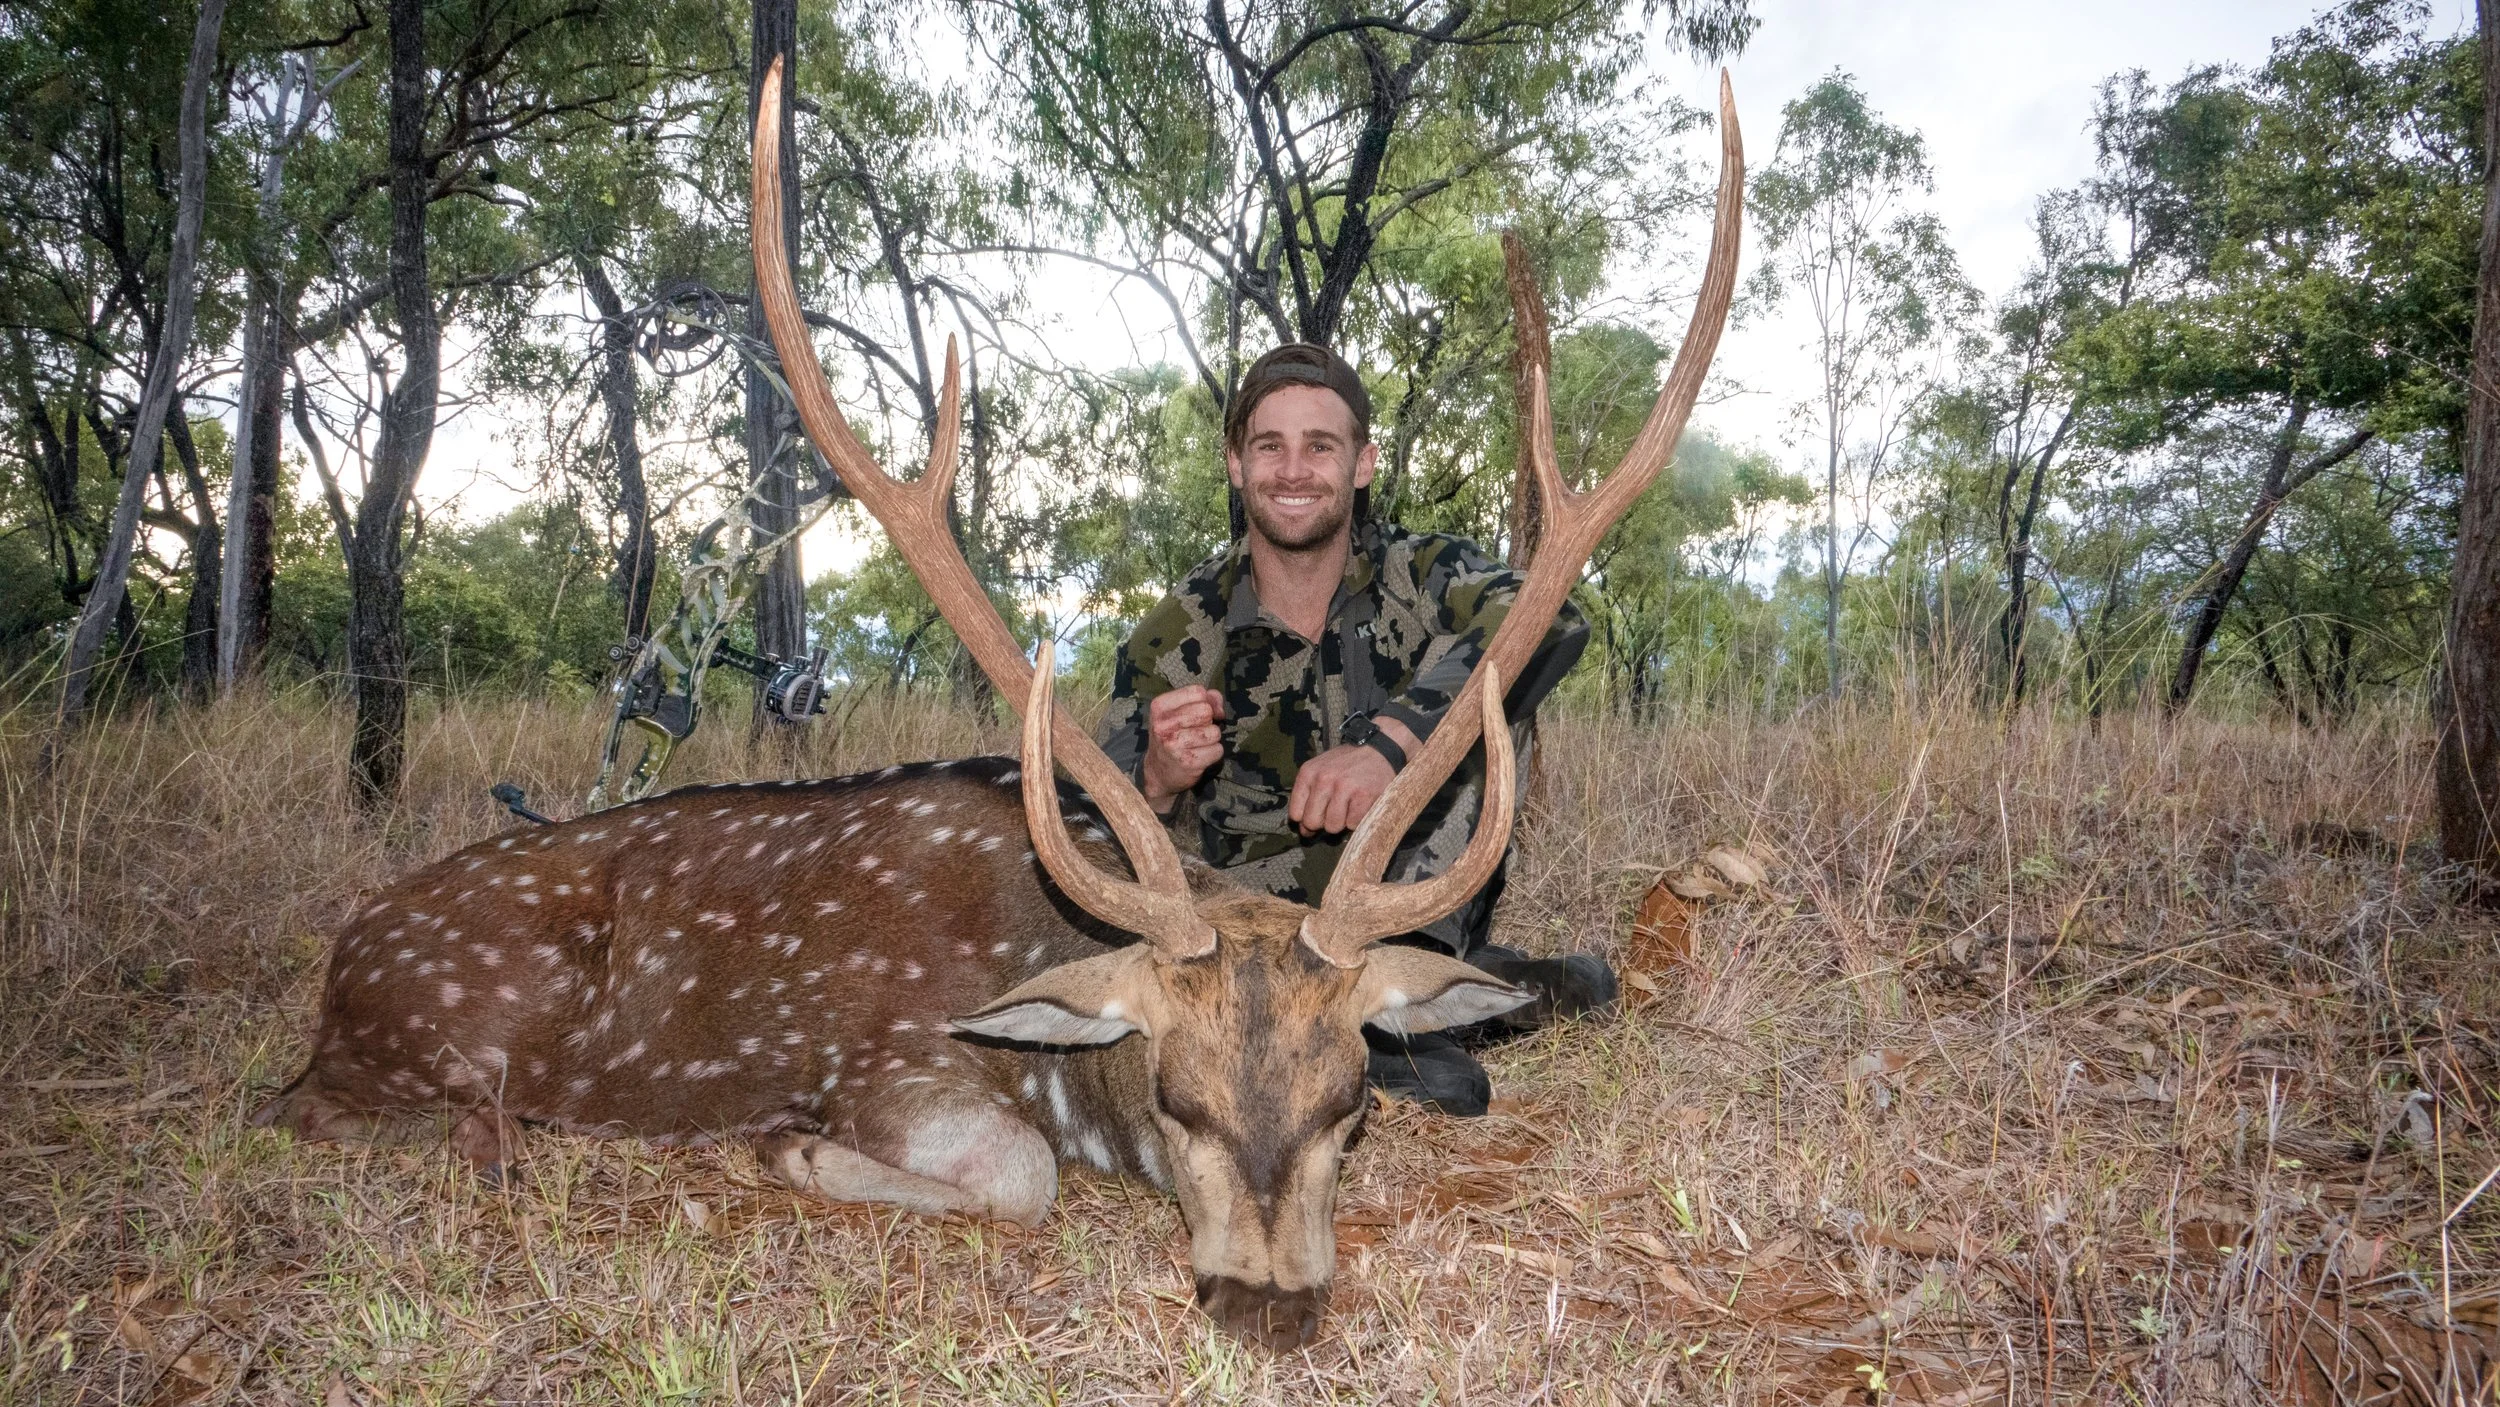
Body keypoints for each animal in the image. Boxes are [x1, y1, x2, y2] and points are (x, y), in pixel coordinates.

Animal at [252, 60, 1742, 1350]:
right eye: (1176, 1097)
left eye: (1350, 1099)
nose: (1266, 1300)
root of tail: (341, 959)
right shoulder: (894, 1057)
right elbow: (1016, 1175)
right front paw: (789, 1142)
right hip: (439, 1025)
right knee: (316, 1109)